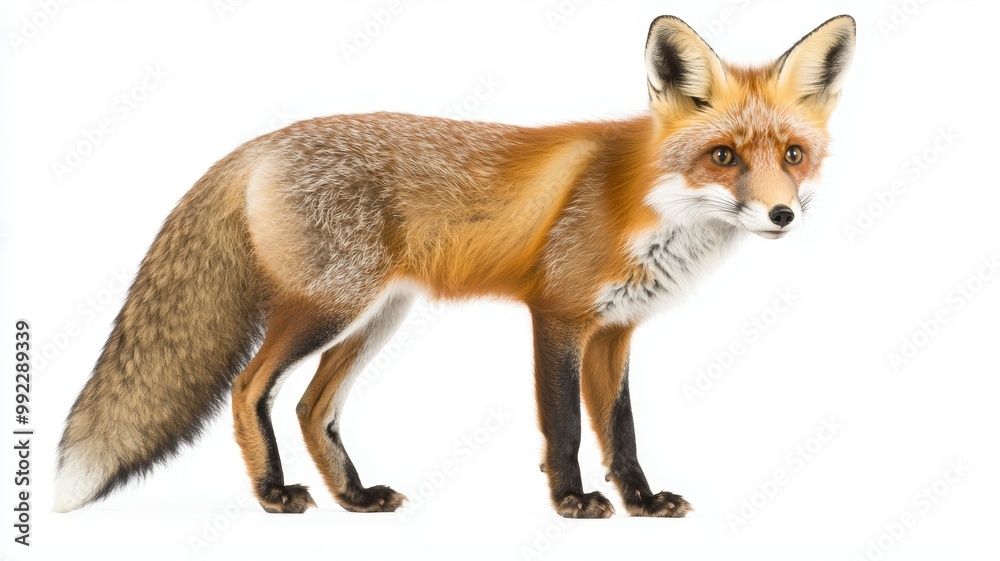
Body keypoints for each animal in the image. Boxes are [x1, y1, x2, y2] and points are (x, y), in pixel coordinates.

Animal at [55, 15, 855, 518]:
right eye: (722, 156)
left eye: (793, 155)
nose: (781, 215)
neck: (645, 201)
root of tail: (259, 144)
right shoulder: (558, 315)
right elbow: (567, 427)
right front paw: (571, 502)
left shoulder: (615, 330)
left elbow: (621, 433)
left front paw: (642, 502)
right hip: (330, 307)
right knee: (250, 388)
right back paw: (273, 495)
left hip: (377, 316)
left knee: (313, 407)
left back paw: (354, 498)